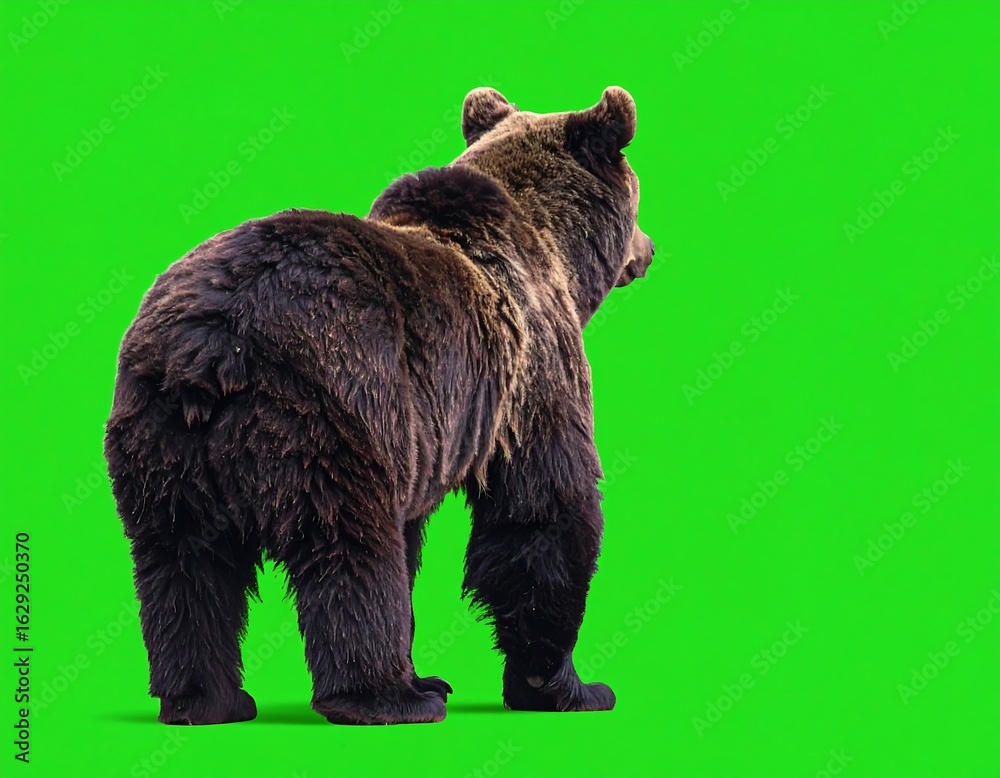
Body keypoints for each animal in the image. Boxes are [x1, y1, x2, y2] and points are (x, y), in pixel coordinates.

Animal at [104, 85, 654, 726]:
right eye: (638, 201)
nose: (648, 248)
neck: (552, 247)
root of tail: (212, 344)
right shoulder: (527, 372)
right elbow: (544, 509)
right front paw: (570, 686)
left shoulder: (426, 437)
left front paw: (437, 672)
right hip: (332, 413)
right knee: (351, 552)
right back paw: (386, 698)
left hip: (162, 437)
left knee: (182, 562)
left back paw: (206, 699)